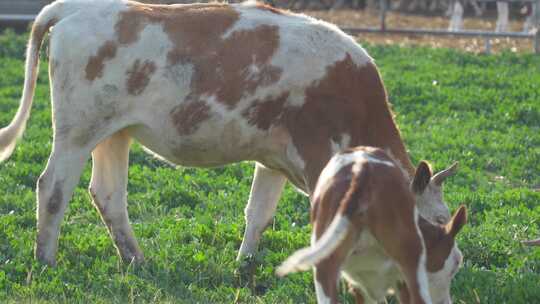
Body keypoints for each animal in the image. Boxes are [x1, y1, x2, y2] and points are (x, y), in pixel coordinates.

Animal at [0, 0, 456, 266]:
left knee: (108, 195)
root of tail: (76, 7)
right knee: (53, 188)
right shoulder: (316, 157)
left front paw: (245, 265)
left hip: (115, 133)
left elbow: (259, 214)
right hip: (78, 132)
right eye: (436, 221)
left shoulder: (275, 161)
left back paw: (136, 259)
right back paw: (45, 259)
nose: (453, 263)